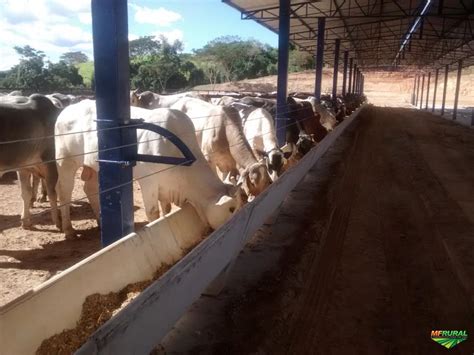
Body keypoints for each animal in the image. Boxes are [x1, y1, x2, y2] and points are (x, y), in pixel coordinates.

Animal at [55, 100, 241, 238]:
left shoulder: (166, 186)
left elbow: (166, 208)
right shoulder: (149, 181)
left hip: (95, 166)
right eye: (231, 209)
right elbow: (153, 212)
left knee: (90, 188)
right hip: (65, 162)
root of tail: (65, 111)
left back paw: (101, 222)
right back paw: (68, 230)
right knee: (64, 192)